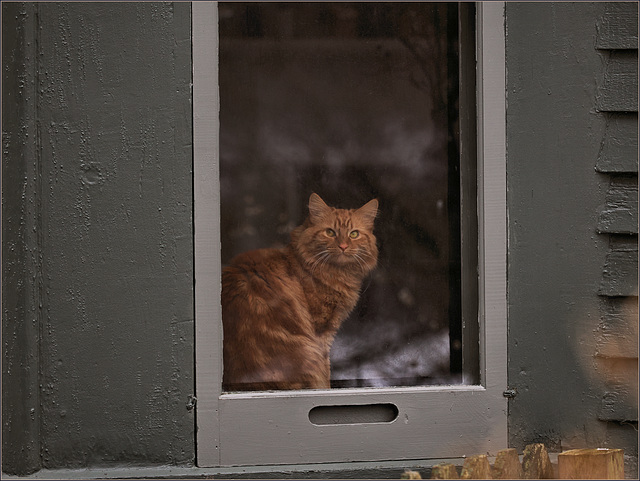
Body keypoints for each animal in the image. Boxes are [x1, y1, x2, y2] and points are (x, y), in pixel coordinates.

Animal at [222, 192, 378, 390]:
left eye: (354, 234)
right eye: (330, 232)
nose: (343, 246)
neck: (336, 272)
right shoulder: (322, 333)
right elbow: (325, 373)